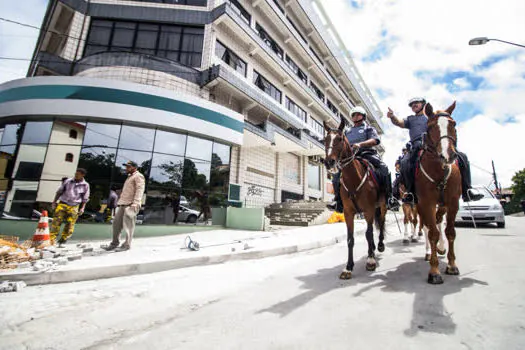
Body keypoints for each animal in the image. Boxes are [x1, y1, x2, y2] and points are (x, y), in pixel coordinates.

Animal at [322, 119, 386, 280]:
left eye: (339, 139)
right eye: (325, 139)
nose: (329, 162)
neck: (353, 178)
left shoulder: (369, 210)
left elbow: (369, 234)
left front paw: (370, 261)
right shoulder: (348, 212)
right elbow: (350, 239)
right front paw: (348, 267)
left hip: (382, 206)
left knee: (381, 224)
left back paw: (379, 246)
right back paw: (373, 248)